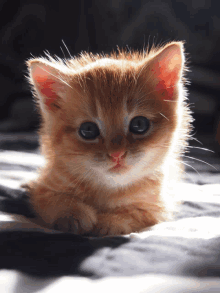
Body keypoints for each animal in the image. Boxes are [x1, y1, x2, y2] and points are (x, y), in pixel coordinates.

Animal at [24, 41, 192, 235]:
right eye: (88, 130)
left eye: (139, 124)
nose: (116, 154)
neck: (110, 187)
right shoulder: (44, 188)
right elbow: (54, 200)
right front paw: (74, 214)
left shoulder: (157, 207)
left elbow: (133, 213)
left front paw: (109, 221)